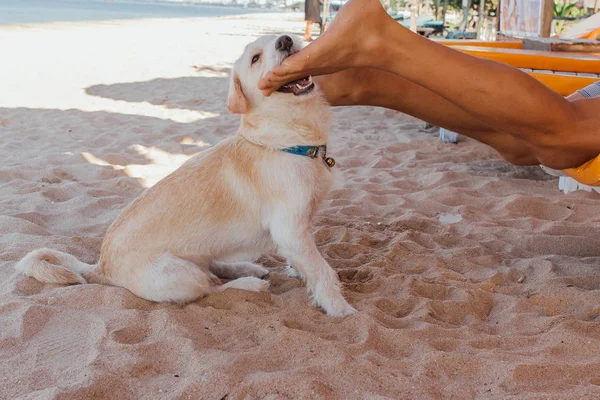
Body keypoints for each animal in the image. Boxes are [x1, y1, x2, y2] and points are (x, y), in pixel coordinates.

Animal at [16, 34, 356, 318]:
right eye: (255, 58)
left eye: (277, 39)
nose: (285, 40)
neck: (286, 141)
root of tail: (101, 267)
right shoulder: (291, 231)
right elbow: (323, 271)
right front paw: (339, 308)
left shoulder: (299, 232)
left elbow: (308, 264)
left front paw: (301, 273)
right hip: (182, 276)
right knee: (210, 288)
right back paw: (248, 283)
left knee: (214, 267)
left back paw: (245, 267)